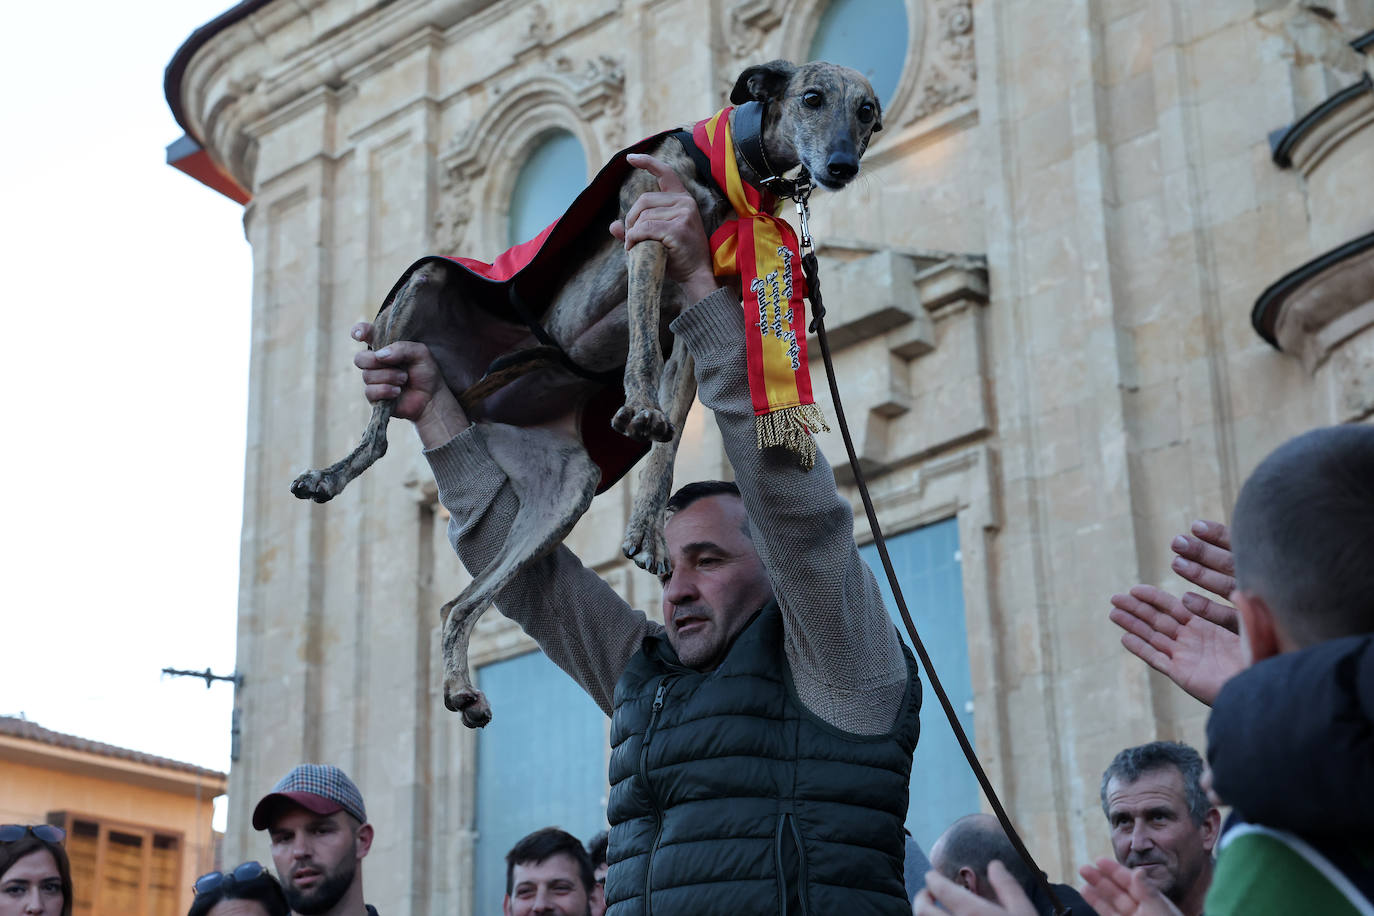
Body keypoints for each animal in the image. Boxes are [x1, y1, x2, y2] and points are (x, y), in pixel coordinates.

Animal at [295, 60, 884, 725]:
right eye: (812, 98)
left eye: (867, 113)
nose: (841, 166)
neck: (729, 168)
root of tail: (476, 403)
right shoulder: (646, 234)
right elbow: (643, 352)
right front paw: (640, 408)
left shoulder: (693, 314)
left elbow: (669, 441)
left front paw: (647, 528)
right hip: (422, 284)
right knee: (376, 438)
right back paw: (327, 476)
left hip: (564, 491)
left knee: (457, 605)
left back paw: (461, 688)